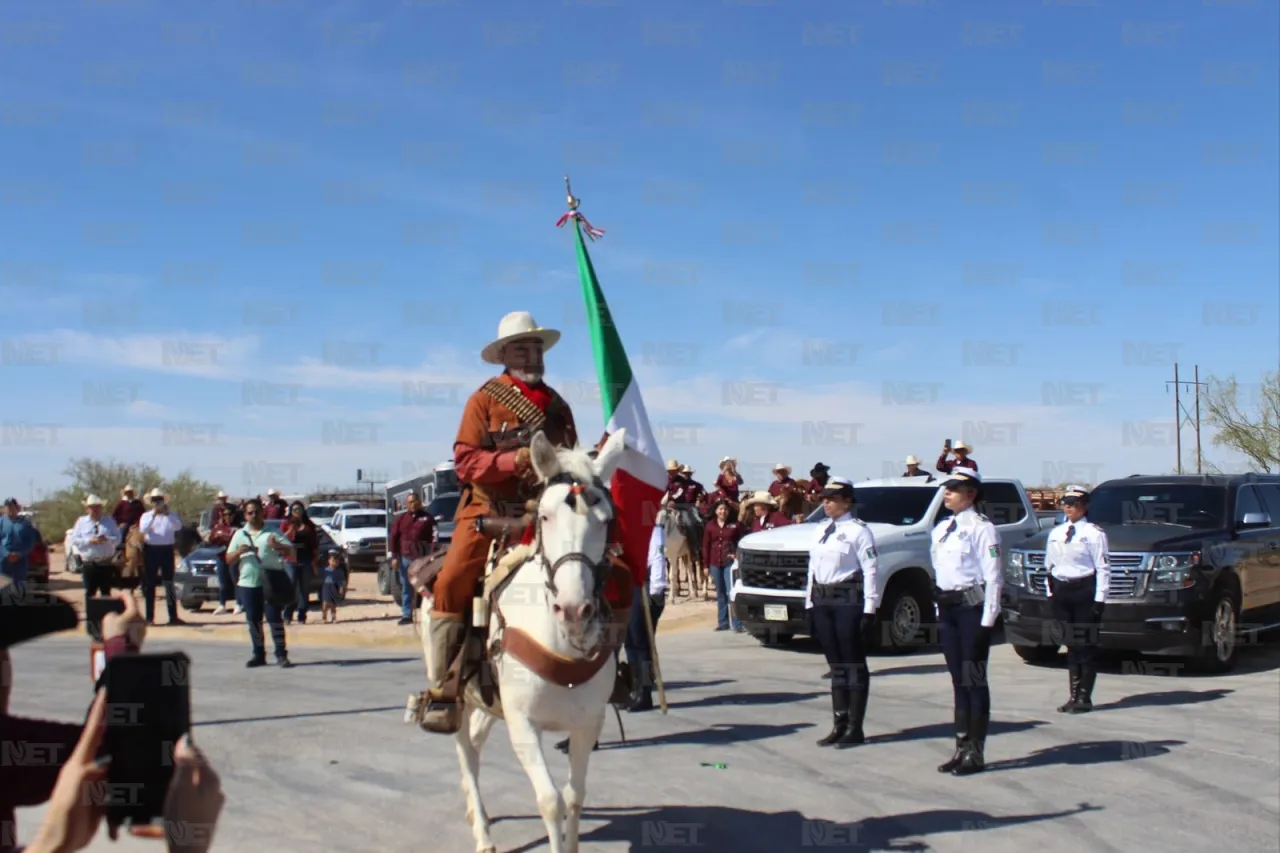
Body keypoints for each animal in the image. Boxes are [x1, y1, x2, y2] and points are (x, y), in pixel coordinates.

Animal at [419, 432, 629, 850]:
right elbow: (551, 801)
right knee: (465, 749)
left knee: (476, 743)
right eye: (544, 516)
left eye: (606, 521)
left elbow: (574, 797)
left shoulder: (587, 725)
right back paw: (483, 835)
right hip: (455, 694)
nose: (574, 609)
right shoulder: (523, 725)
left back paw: (477, 813)